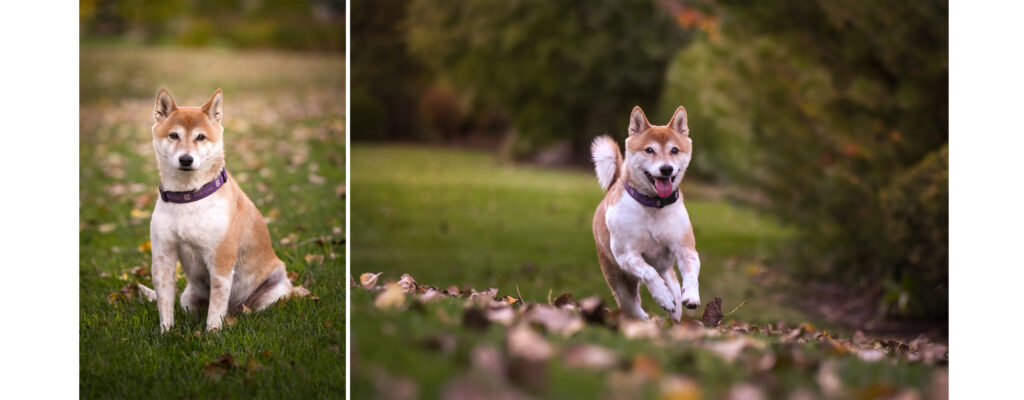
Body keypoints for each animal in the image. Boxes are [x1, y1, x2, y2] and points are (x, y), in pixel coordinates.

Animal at [142, 90, 299, 331]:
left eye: (200, 137)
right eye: (174, 135)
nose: (186, 159)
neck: (188, 198)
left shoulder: (221, 260)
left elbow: (216, 306)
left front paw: (213, 333)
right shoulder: (163, 257)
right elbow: (165, 303)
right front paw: (166, 332)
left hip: (274, 291)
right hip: (187, 298)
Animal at [589, 105, 700, 323]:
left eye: (674, 150)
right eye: (649, 150)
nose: (666, 169)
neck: (654, 206)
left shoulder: (685, 248)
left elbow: (691, 271)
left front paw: (691, 296)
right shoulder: (627, 255)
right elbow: (649, 272)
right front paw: (663, 296)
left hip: (668, 272)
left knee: (674, 299)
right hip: (618, 280)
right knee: (632, 307)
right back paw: (645, 316)